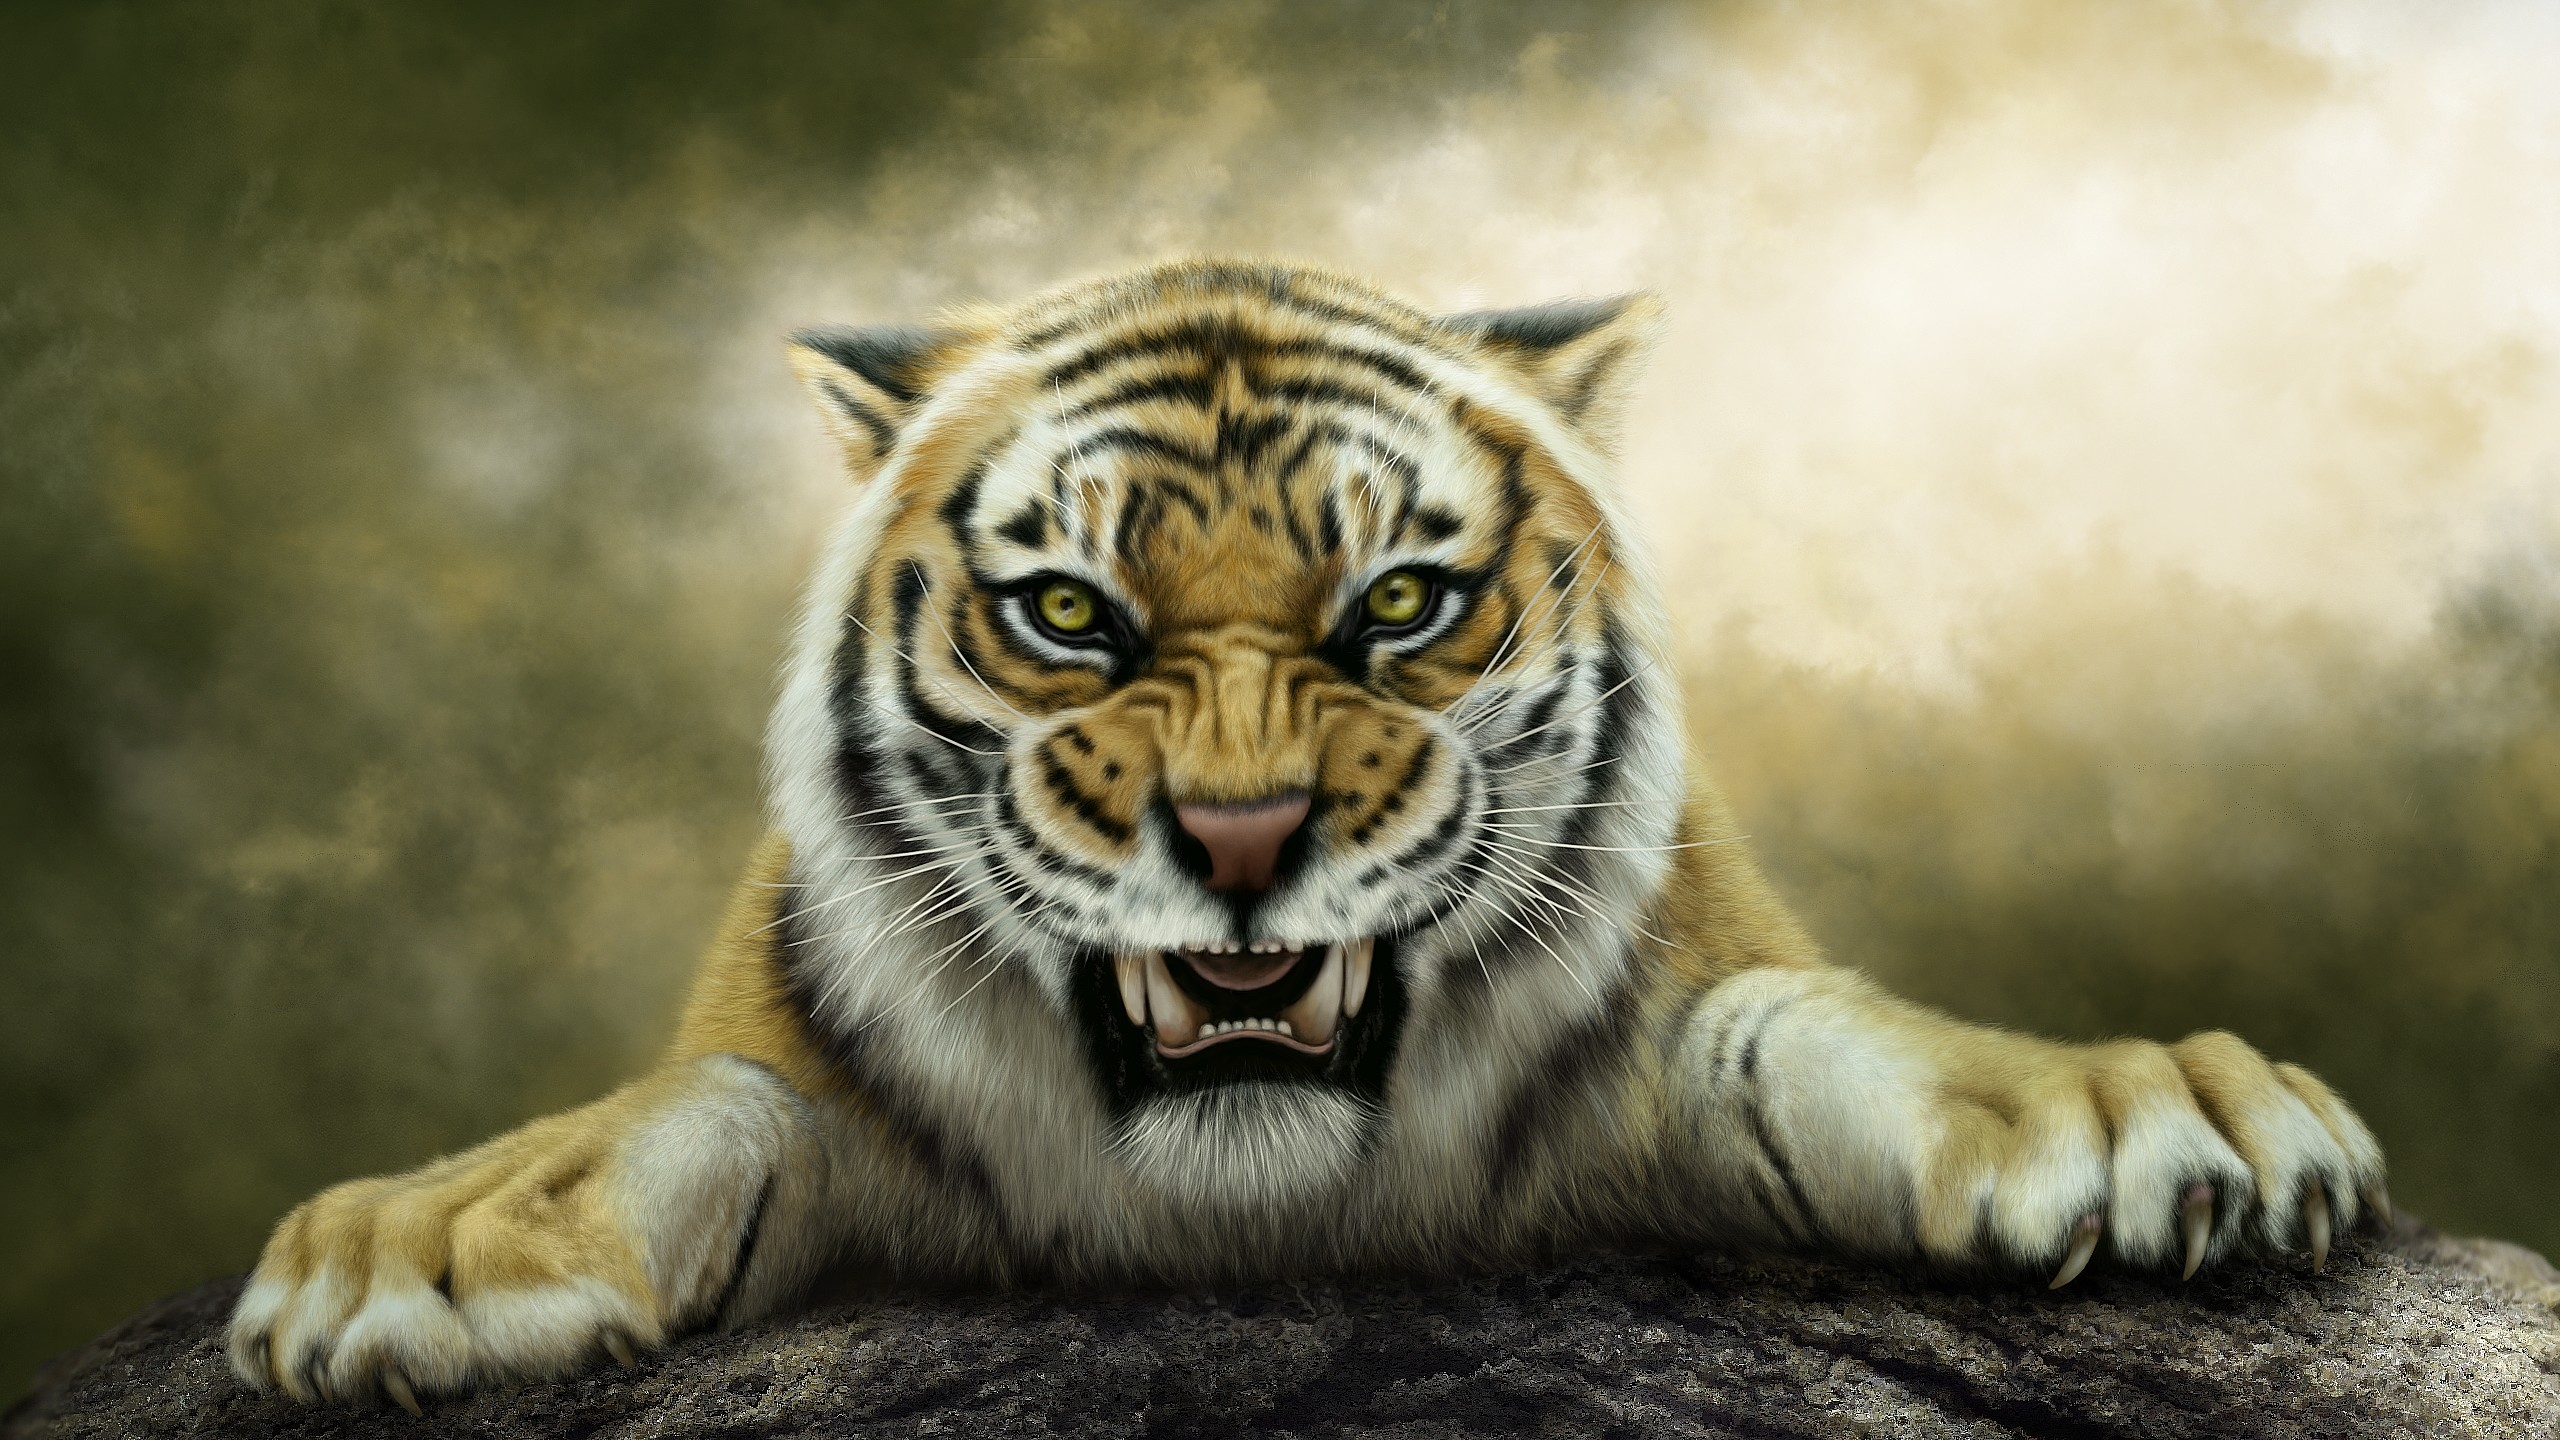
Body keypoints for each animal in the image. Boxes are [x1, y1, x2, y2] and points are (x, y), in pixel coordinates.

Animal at [227, 259, 2388, 1413]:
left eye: (1401, 605)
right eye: (1070, 614)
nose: (1244, 833)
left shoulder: (1680, 1021)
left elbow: (1822, 1031)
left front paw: (2136, 1115)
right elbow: (707, 1095)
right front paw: (420, 1245)